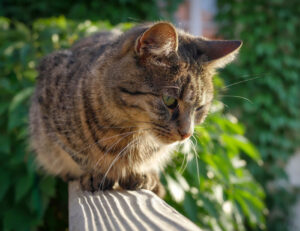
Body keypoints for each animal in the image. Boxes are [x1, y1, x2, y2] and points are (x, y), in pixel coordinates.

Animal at [29, 21, 243, 197]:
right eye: (169, 100)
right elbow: (79, 156)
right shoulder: (50, 119)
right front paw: (96, 173)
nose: (187, 134)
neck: (132, 135)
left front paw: (141, 174)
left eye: (199, 108)